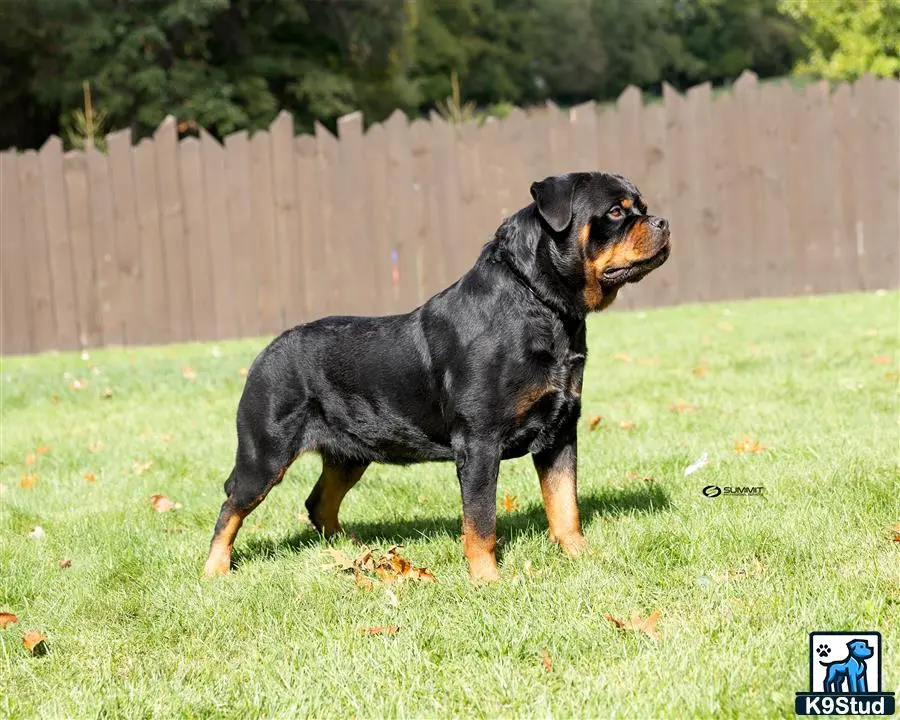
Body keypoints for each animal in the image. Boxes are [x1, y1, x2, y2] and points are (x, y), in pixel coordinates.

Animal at [204, 172, 668, 584]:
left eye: (642, 207)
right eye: (615, 211)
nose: (662, 221)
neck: (539, 305)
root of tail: (264, 353)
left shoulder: (560, 431)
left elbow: (565, 503)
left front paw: (580, 555)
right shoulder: (479, 442)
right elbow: (480, 521)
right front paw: (487, 580)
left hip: (350, 454)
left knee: (319, 502)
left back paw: (352, 551)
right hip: (265, 452)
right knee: (232, 506)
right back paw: (215, 569)